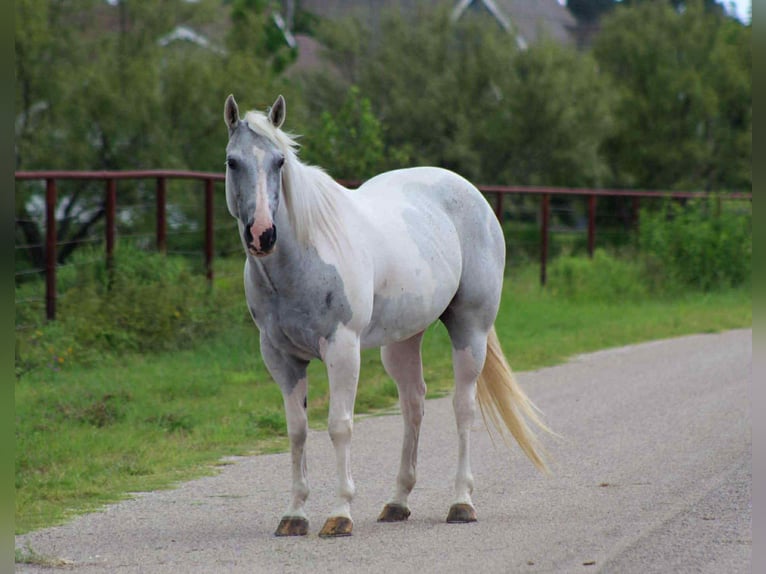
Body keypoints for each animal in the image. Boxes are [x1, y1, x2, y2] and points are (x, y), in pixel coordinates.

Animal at [223, 94, 550, 538]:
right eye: (232, 162)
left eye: (279, 161)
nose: (262, 234)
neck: (304, 256)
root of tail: (470, 193)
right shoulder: (279, 357)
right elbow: (297, 431)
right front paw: (294, 514)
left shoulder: (342, 349)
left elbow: (339, 425)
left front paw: (340, 513)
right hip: (401, 343)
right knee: (413, 405)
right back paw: (397, 502)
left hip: (470, 331)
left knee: (462, 408)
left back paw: (461, 502)